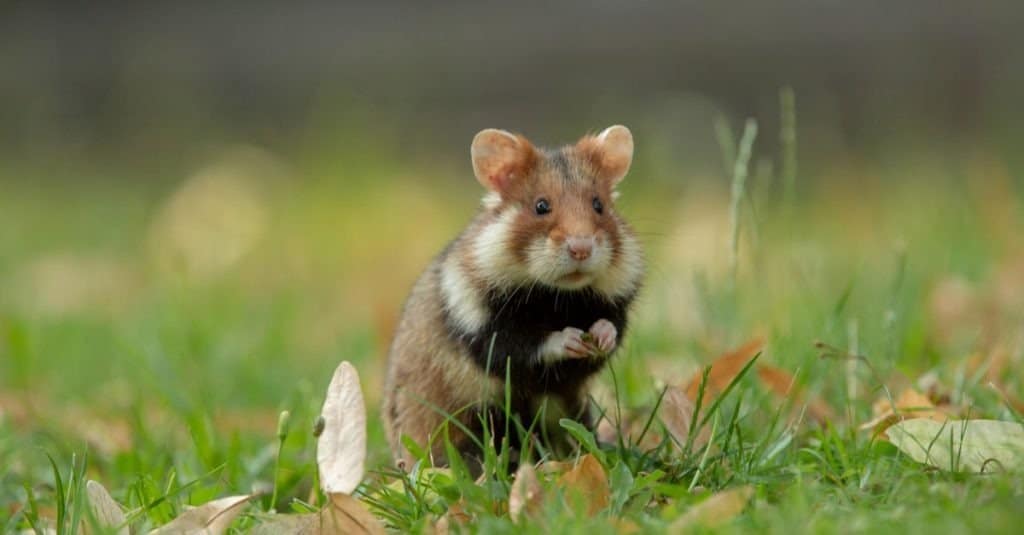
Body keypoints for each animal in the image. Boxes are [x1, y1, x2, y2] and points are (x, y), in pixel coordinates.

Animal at [380, 125, 643, 467]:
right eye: (541, 206)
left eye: (599, 205)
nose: (581, 248)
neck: (558, 296)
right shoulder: (482, 328)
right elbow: (523, 346)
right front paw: (571, 339)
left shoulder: (613, 306)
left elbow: (611, 329)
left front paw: (601, 335)